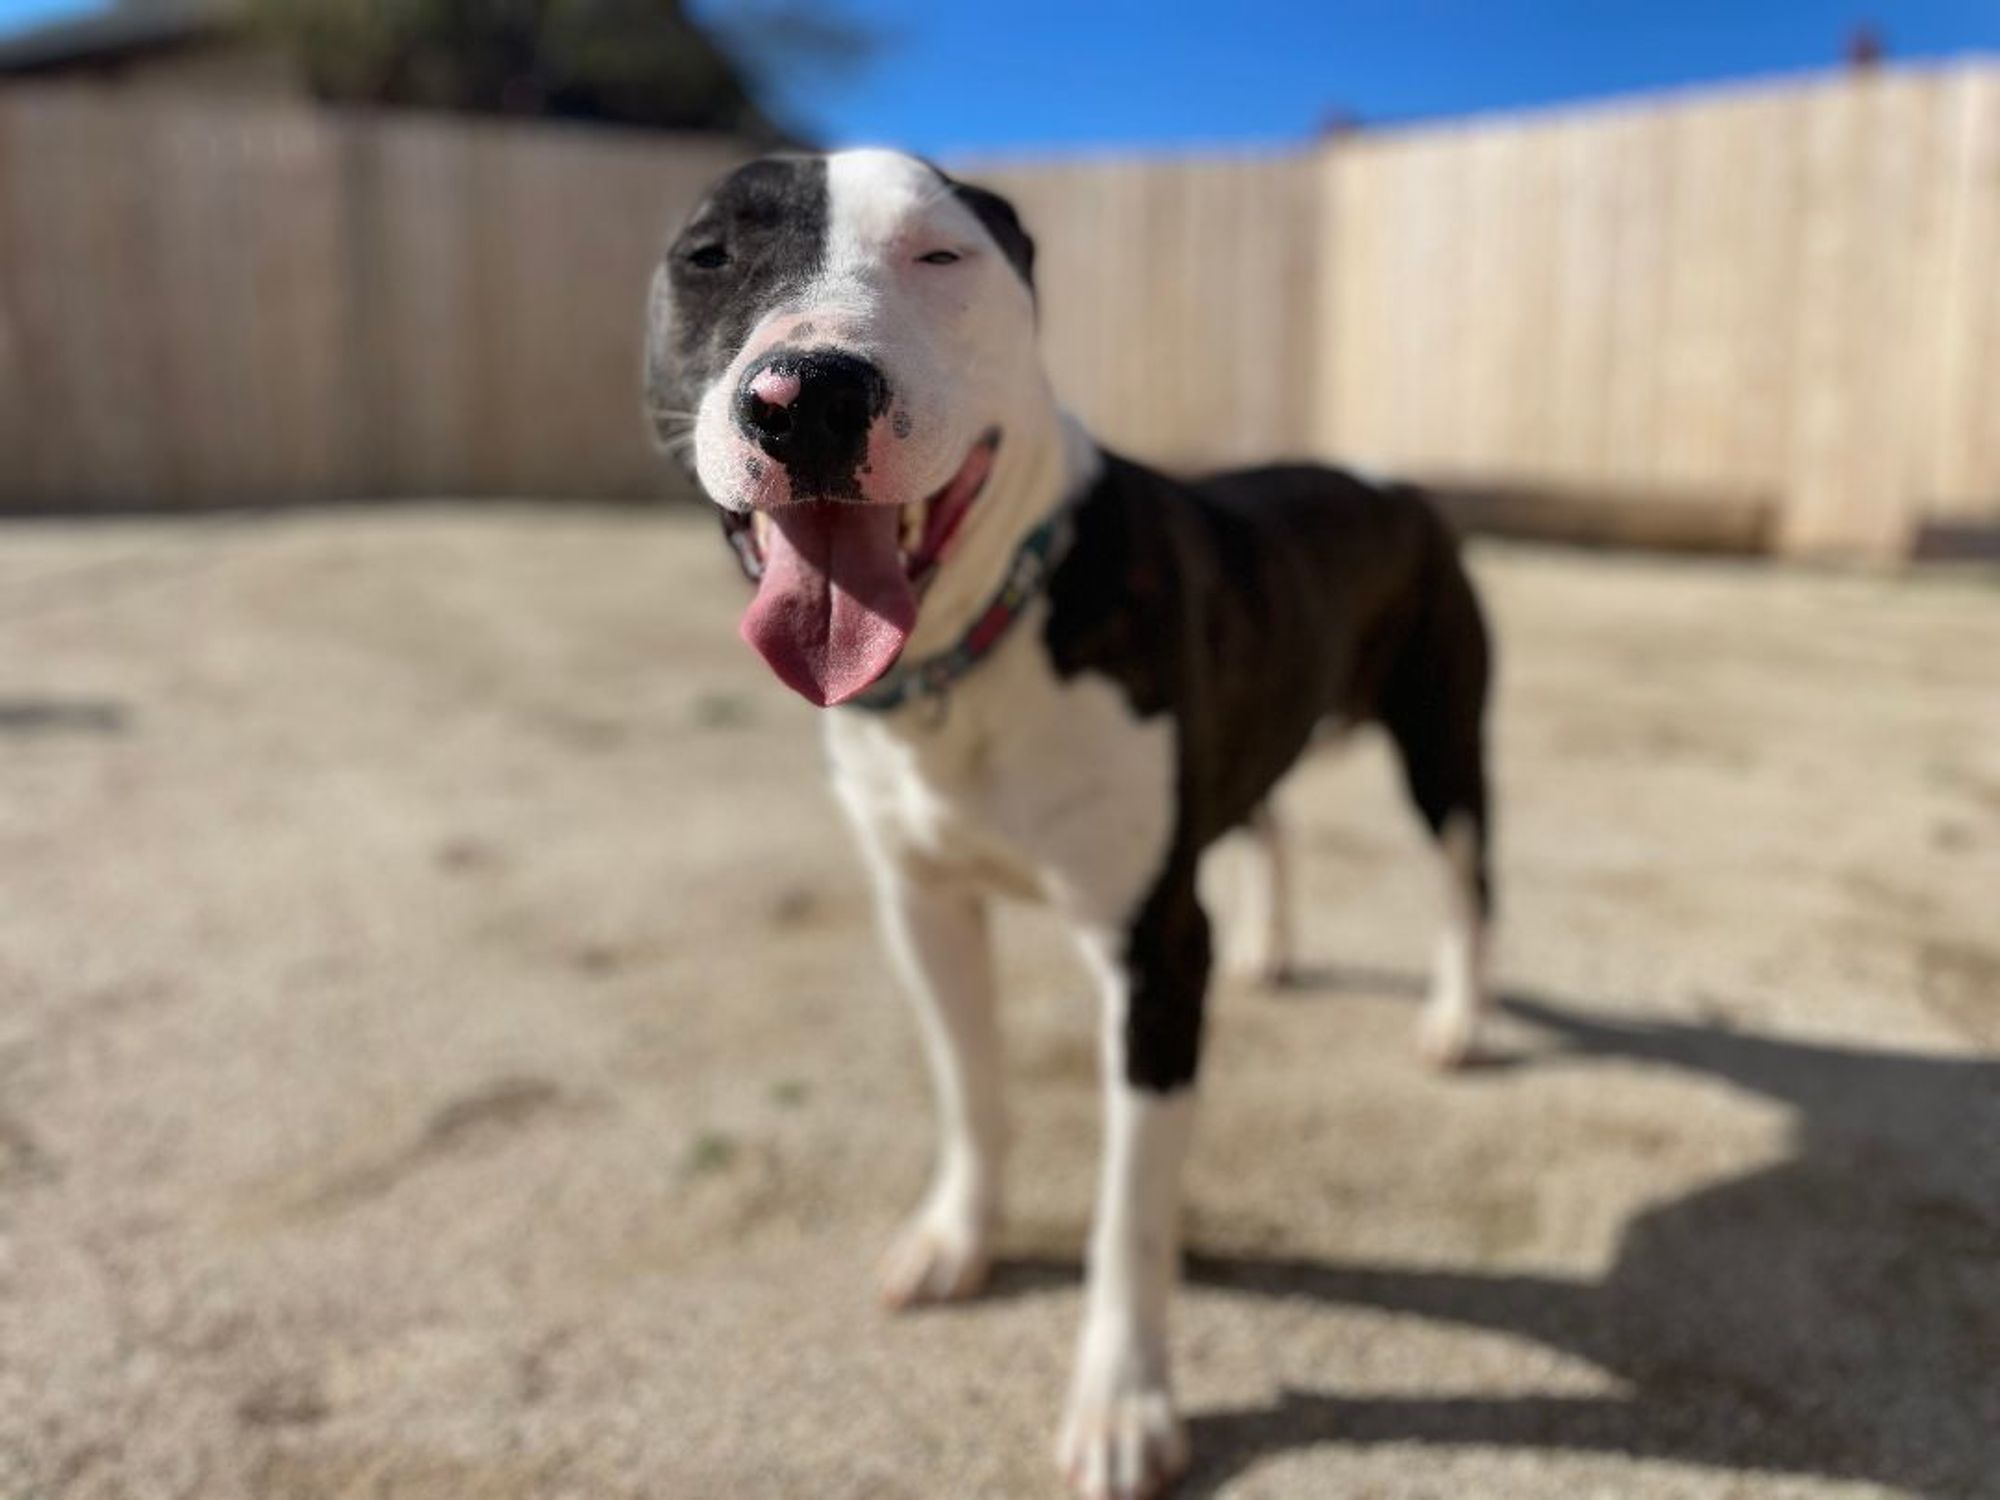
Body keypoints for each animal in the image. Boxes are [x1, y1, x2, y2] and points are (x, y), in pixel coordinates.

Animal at [648, 147, 1496, 1496]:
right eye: (707, 257)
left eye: (942, 254)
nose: (808, 396)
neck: (974, 652)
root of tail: (1384, 477)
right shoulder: (923, 909)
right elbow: (969, 1088)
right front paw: (957, 1238)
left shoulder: (1152, 955)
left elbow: (1128, 1214)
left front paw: (1121, 1402)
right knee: (1269, 823)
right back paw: (1270, 950)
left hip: (1440, 742)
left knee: (1467, 877)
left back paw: (1457, 1019)